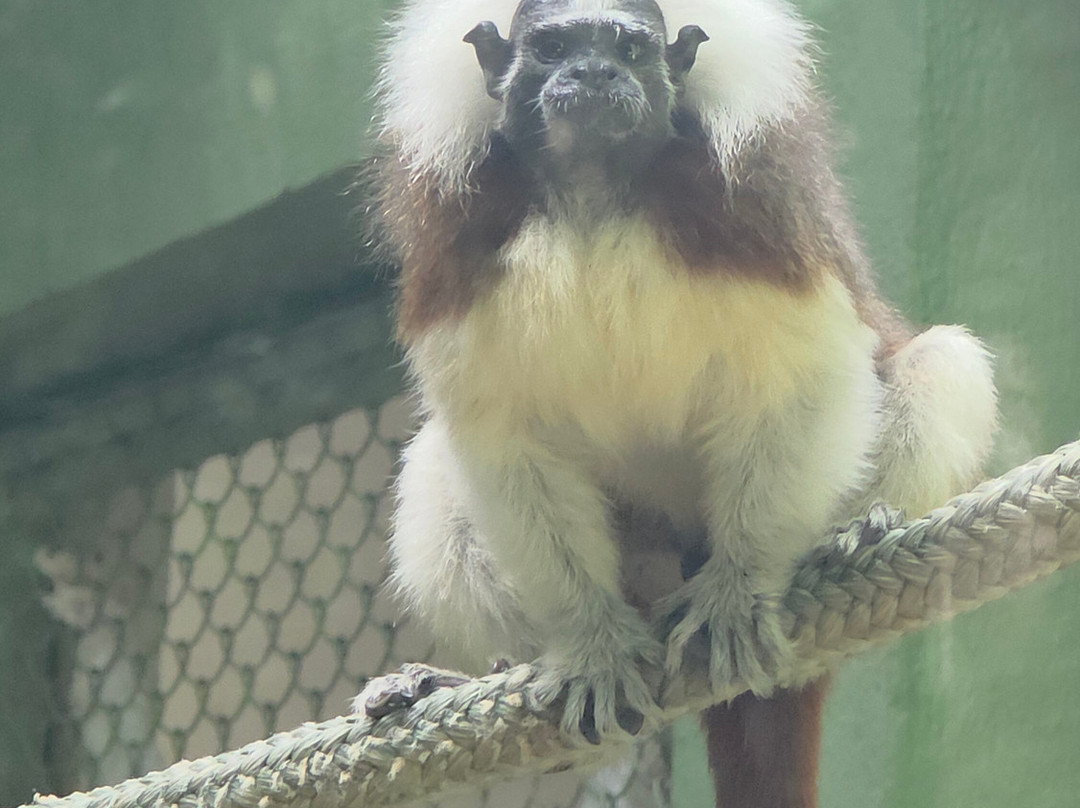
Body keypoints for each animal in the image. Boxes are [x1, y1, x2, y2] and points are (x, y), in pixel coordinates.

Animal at [359, 0, 997, 805]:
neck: (593, 196)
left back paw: (854, 532)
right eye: (553, 47)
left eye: (629, 48)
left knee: (941, 364)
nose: (594, 74)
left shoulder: (747, 210)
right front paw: (593, 644)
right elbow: (499, 435)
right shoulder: (462, 243)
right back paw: (483, 676)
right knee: (433, 464)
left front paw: (739, 589)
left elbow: (801, 370)